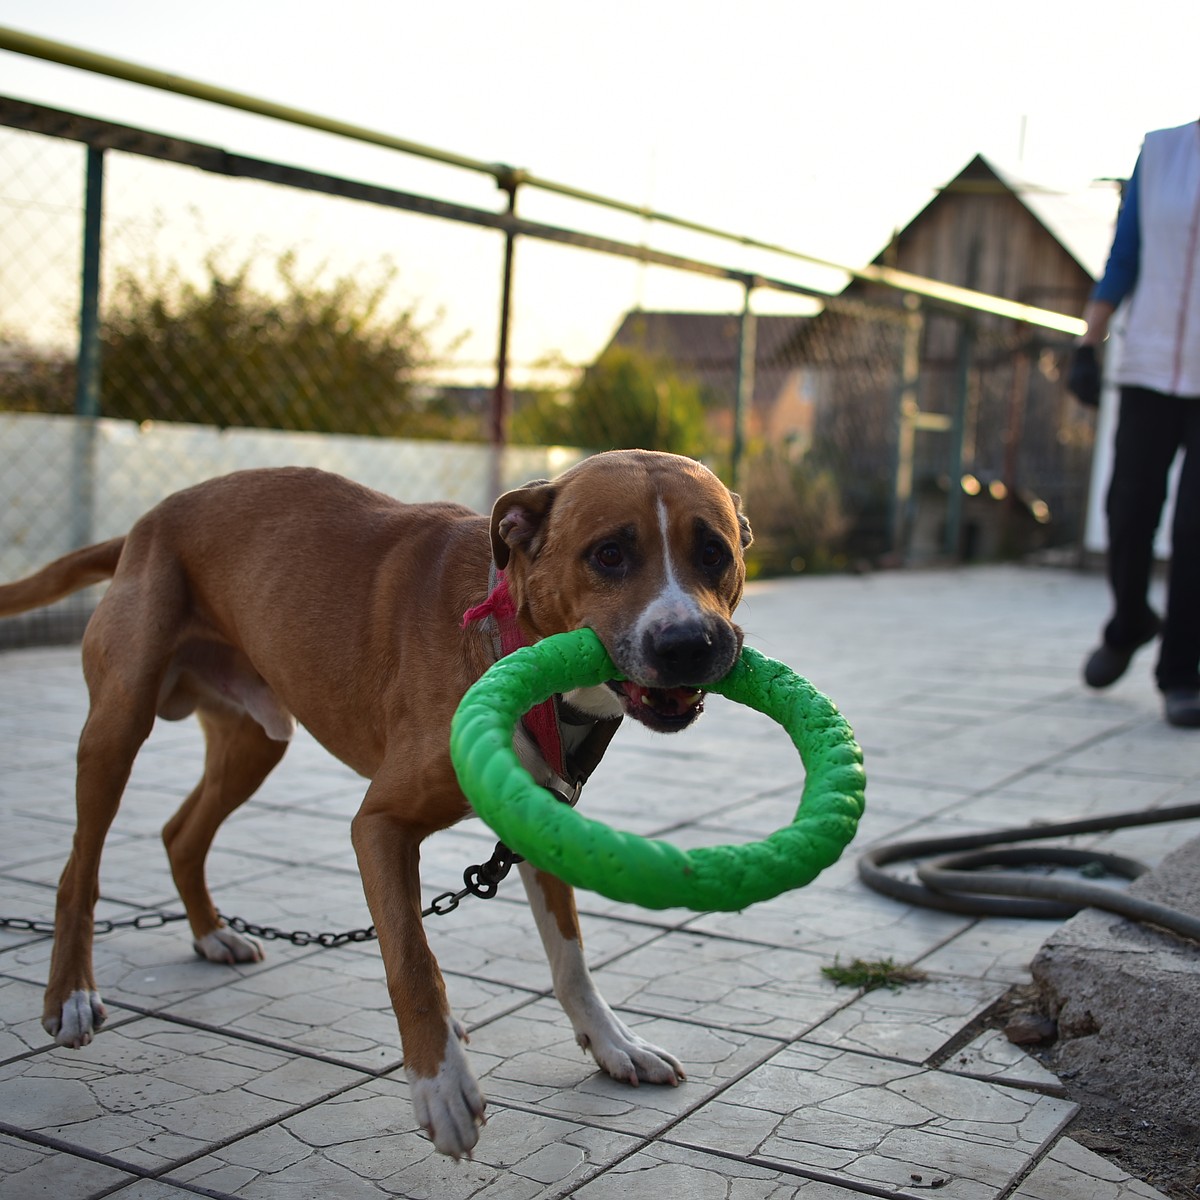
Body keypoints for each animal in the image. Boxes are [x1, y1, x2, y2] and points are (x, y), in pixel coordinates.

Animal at [0, 446, 748, 1156]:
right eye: (610, 553)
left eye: (715, 552)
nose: (689, 642)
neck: (509, 638)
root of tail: (148, 521)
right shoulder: (380, 826)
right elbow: (412, 959)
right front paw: (440, 1084)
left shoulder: (543, 820)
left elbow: (571, 960)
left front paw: (615, 1044)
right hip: (118, 726)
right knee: (79, 869)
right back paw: (71, 995)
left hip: (253, 742)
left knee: (180, 834)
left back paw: (212, 934)